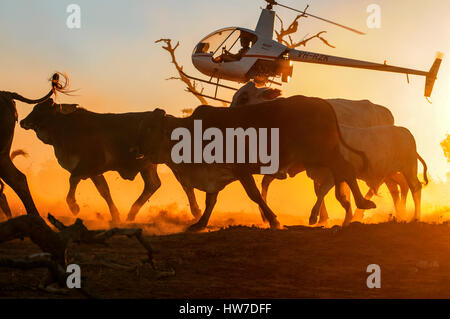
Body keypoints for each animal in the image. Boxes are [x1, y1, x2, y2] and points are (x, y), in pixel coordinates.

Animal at [20, 101, 200, 224]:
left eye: (41, 109)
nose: (22, 121)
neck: (66, 128)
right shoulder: (94, 171)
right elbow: (104, 191)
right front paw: (115, 217)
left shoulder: (90, 165)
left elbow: (73, 180)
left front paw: (74, 207)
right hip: (148, 166)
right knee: (153, 184)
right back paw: (131, 215)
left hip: (173, 163)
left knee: (185, 185)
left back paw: (196, 212)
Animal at [138, 95, 376, 232]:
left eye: (153, 130)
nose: (141, 152)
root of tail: (323, 103)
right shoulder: (214, 173)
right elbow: (210, 201)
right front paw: (200, 224)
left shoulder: (241, 170)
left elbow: (254, 195)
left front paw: (274, 221)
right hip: (321, 156)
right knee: (340, 174)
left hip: (324, 152)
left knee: (346, 170)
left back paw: (362, 204)